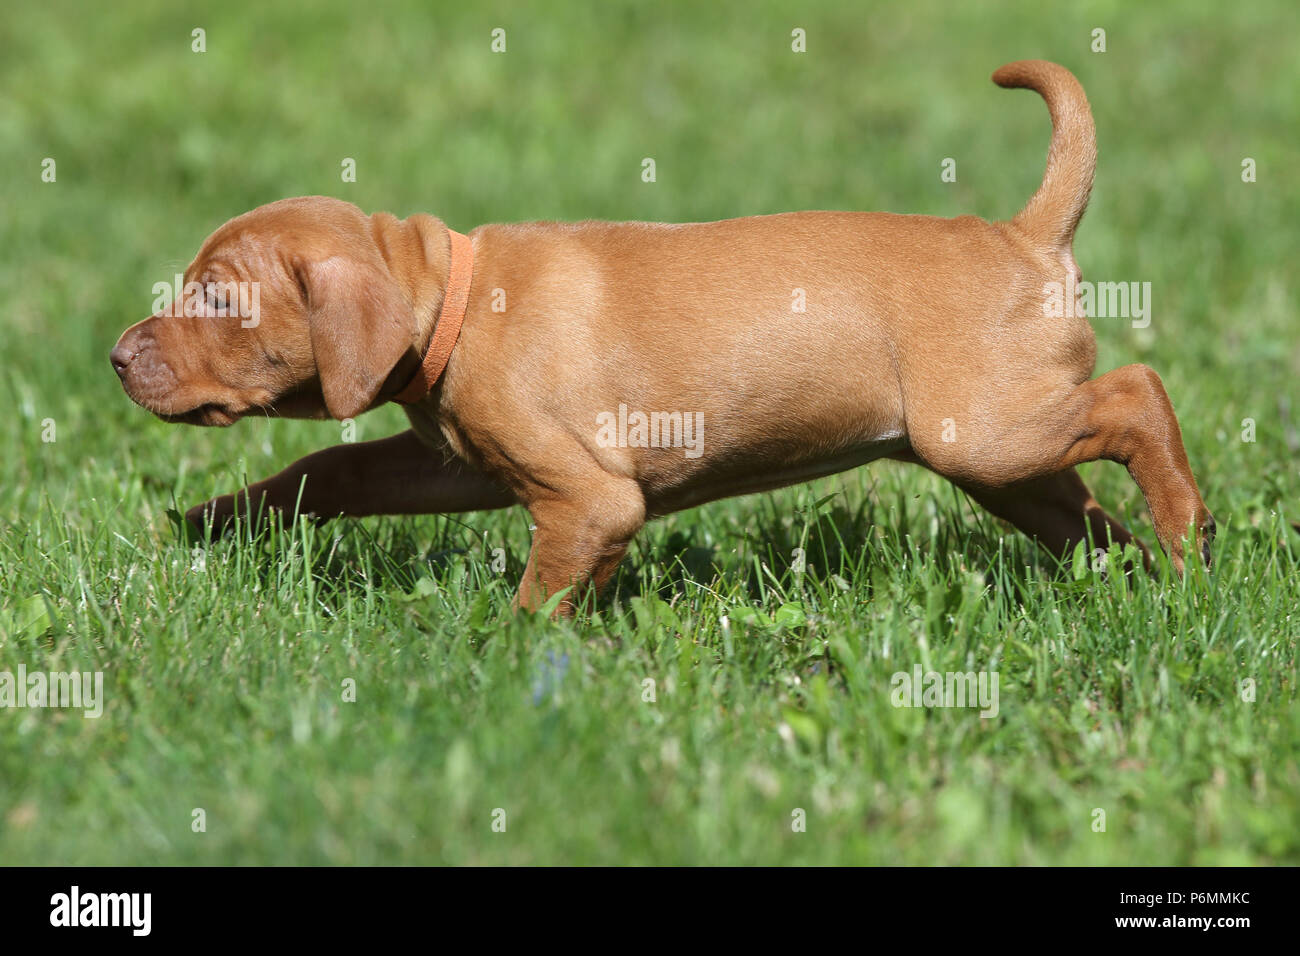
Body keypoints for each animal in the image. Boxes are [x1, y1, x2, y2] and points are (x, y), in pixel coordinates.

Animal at [114, 61, 1216, 613]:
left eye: (215, 299)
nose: (119, 356)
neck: (454, 300)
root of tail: (1023, 233)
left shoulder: (587, 496)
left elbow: (540, 599)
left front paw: (507, 664)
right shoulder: (462, 464)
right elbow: (327, 469)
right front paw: (208, 522)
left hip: (980, 434)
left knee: (1141, 394)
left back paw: (1189, 535)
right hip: (1008, 459)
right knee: (1087, 512)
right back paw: (1144, 580)